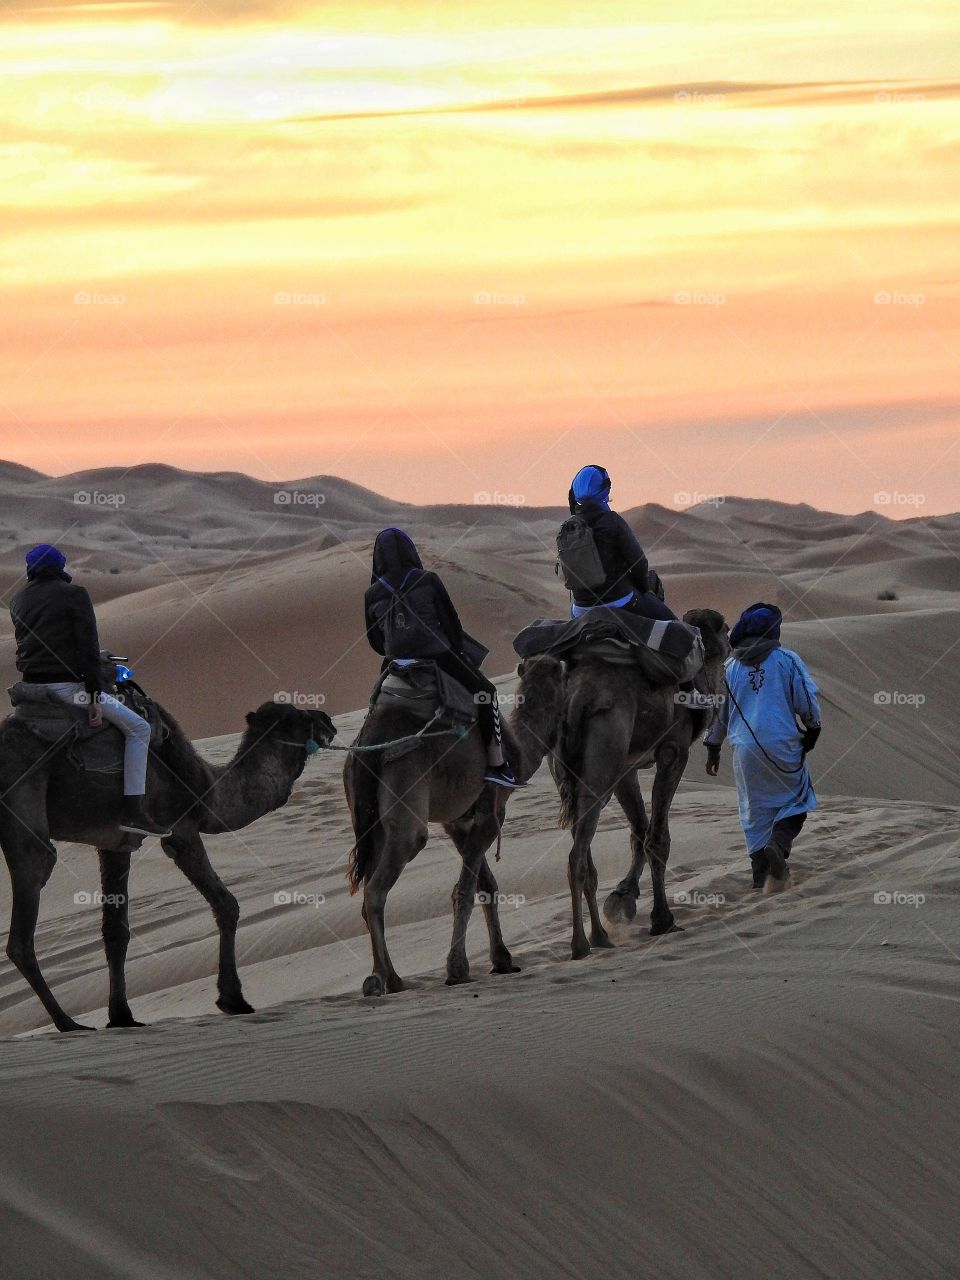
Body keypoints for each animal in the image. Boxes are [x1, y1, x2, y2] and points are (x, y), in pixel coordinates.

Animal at [0, 701, 335, 1029]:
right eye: (303, 717)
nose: (328, 720)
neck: (207, 789)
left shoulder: (116, 842)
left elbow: (116, 929)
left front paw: (121, 1016)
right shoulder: (181, 829)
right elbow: (226, 904)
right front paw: (232, 999)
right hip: (24, 808)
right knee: (22, 931)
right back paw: (67, 1022)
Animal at [345, 660, 568, 998]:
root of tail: (370, 740)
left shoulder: (458, 822)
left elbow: (486, 885)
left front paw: (502, 959)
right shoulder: (492, 813)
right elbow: (464, 890)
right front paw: (458, 969)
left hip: (370, 820)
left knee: (368, 883)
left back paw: (378, 977)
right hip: (406, 791)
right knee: (378, 886)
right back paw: (393, 980)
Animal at [552, 609, 732, 962]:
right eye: (725, 645)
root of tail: (576, 699)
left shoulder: (627, 768)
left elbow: (639, 830)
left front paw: (623, 897)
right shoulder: (673, 750)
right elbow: (657, 836)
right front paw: (662, 919)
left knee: (584, 852)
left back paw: (600, 936)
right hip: (602, 761)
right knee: (576, 857)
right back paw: (581, 944)